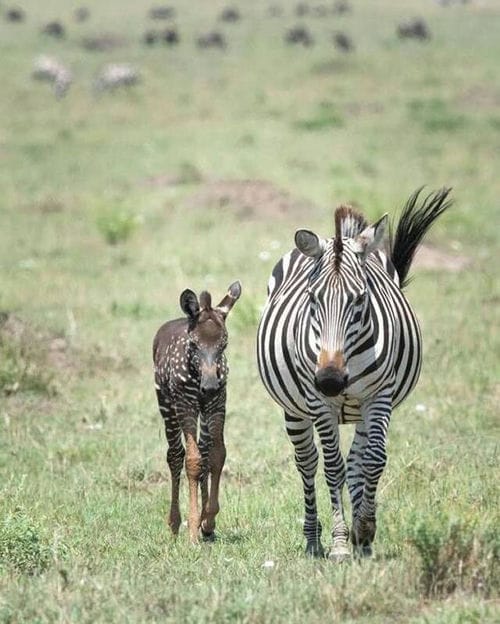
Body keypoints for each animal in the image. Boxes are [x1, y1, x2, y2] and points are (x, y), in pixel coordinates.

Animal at [154, 282, 242, 540]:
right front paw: (193, 529)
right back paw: (174, 524)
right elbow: (192, 461)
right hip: (167, 405)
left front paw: (208, 520)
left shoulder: (217, 404)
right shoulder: (186, 405)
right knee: (175, 455)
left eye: (224, 345)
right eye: (193, 344)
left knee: (203, 449)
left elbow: (216, 455)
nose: (210, 386)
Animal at [258, 186, 454, 560]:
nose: (330, 381)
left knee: (357, 459)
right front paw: (339, 543)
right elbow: (332, 467)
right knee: (308, 462)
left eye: (361, 299)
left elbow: (373, 460)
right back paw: (313, 541)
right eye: (312, 299)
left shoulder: (379, 396)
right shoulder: (319, 403)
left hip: (360, 408)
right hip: (295, 410)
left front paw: (363, 531)